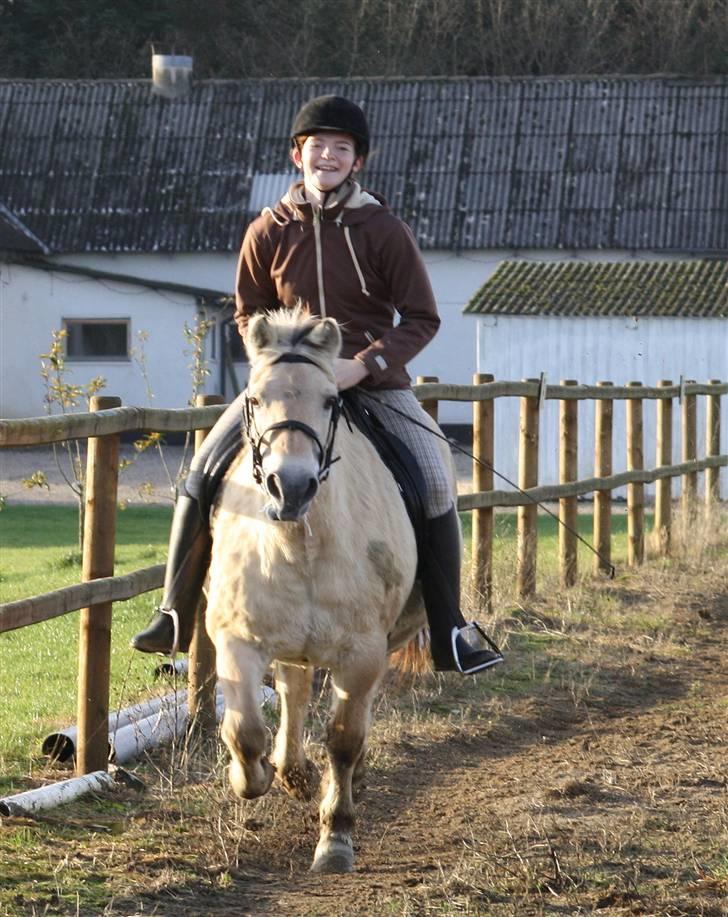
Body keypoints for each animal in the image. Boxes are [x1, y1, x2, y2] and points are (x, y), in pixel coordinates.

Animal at [205, 310, 452, 872]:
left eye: (329, 400)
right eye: (255, 398)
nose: (290, 487)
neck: (299, 543)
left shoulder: (361, 652)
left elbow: (343, 739)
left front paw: (335, 837)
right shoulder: (237, 640)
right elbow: (244, 730)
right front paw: (253, 777)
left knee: (342, 711)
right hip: (290, 642)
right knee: (293, 691)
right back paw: (292, 773)